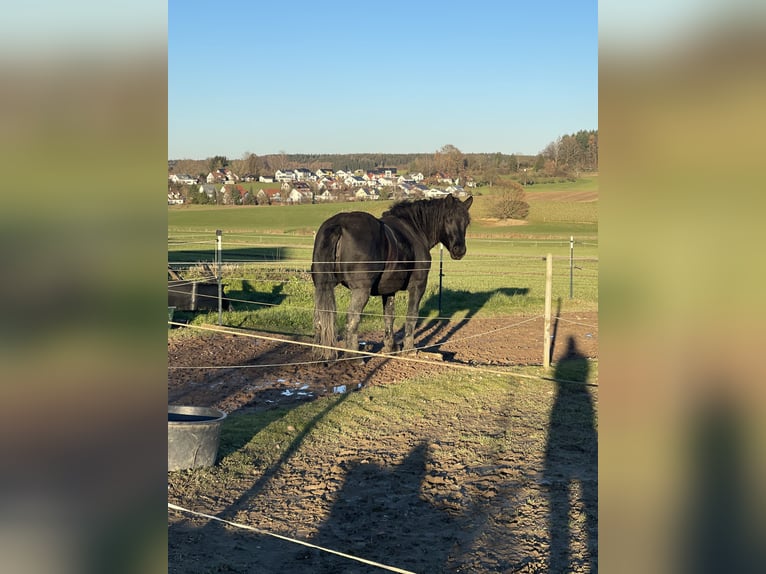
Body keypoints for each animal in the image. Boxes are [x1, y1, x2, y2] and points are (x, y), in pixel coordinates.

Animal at [312, 196, 474, 362]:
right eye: (448, 219)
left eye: (466, 222)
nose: (459, 250)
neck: (414, 230)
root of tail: (339, 224)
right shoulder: (418, 286)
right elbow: (412, 316)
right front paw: (410, 349)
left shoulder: (388, 290)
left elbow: (389, 317)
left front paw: (391, 347)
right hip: (361, 290)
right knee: (352, 319)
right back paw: (355, 357)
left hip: (322, 285)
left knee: (320, 319)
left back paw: (320, 353)